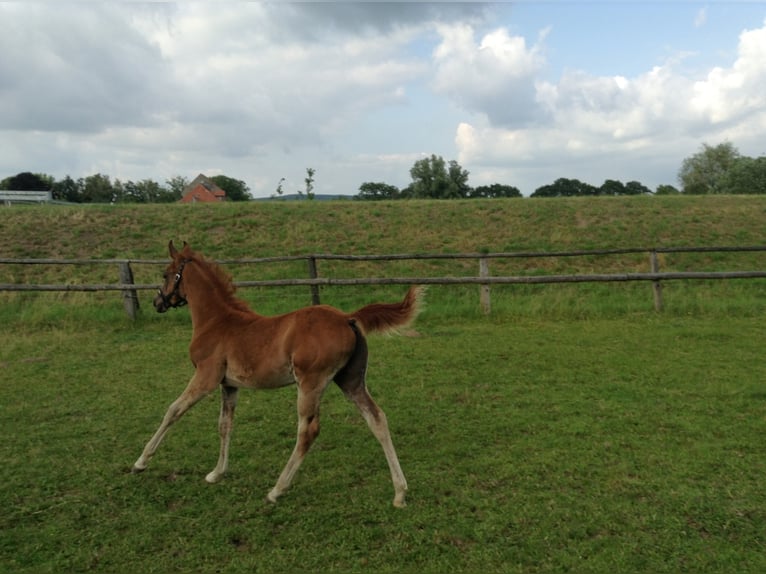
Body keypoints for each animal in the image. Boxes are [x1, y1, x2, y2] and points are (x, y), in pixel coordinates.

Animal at [129, 242, 424, 508]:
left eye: (166, 274)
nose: (157, 302)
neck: (217, 321)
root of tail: (346, 318)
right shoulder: (229, 385)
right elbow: (225, 425)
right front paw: (216, 473)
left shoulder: (206, 377)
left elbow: (173, 410)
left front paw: (140, 462)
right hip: (350, 380)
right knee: (377, 418)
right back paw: (399, 493)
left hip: (310, 383)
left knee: (308, 431)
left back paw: (276, 490)